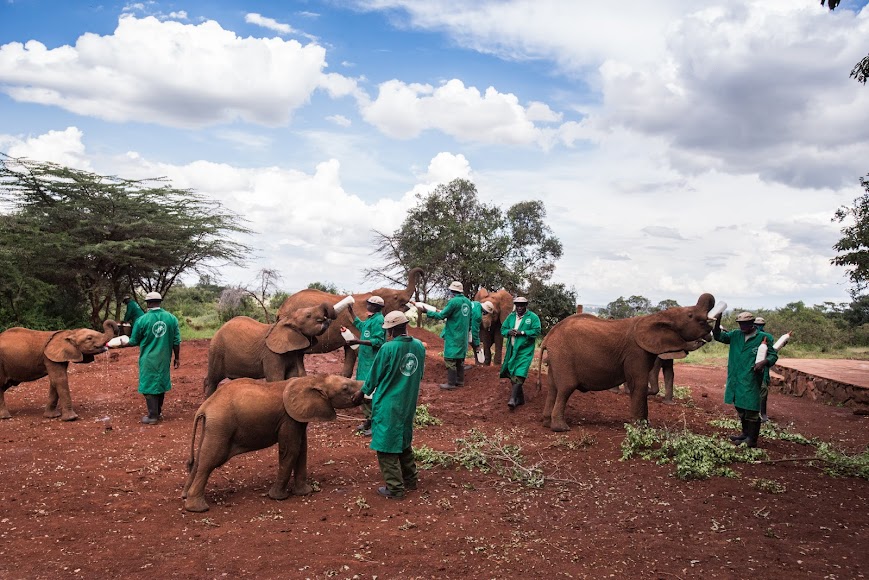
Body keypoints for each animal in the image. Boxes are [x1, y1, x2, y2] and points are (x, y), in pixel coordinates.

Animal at [182, 374, 361, 512]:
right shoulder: (288, 418)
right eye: (345, 388)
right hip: (221, 425)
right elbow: (291, 450)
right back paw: (198, 509)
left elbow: (302, 449)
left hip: (212, 427)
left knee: (200, 458)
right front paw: (278, 497)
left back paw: (185, 496)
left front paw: (304, 492)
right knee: (210, 461)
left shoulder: (298, 418)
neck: (313, 379)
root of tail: (205, 406)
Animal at [204, 303, 337, 397]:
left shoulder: (293, 353)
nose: (328, 319)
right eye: (308, 315)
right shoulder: (271, 354)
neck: (285, 320)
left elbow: (295, 376)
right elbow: (276, 379)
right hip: (216, 351)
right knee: (212, 380)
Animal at [538, 294, 716, 431]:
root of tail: (548, 336)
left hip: (556, 357)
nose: (709, 335)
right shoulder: (636, 352)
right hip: (563, 355)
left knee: (553, 388)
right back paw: (561, 428)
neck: (658, 315)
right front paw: (641, 429)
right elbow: (639, 384)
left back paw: (546, 423)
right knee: (566, 388)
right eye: (690, 315)